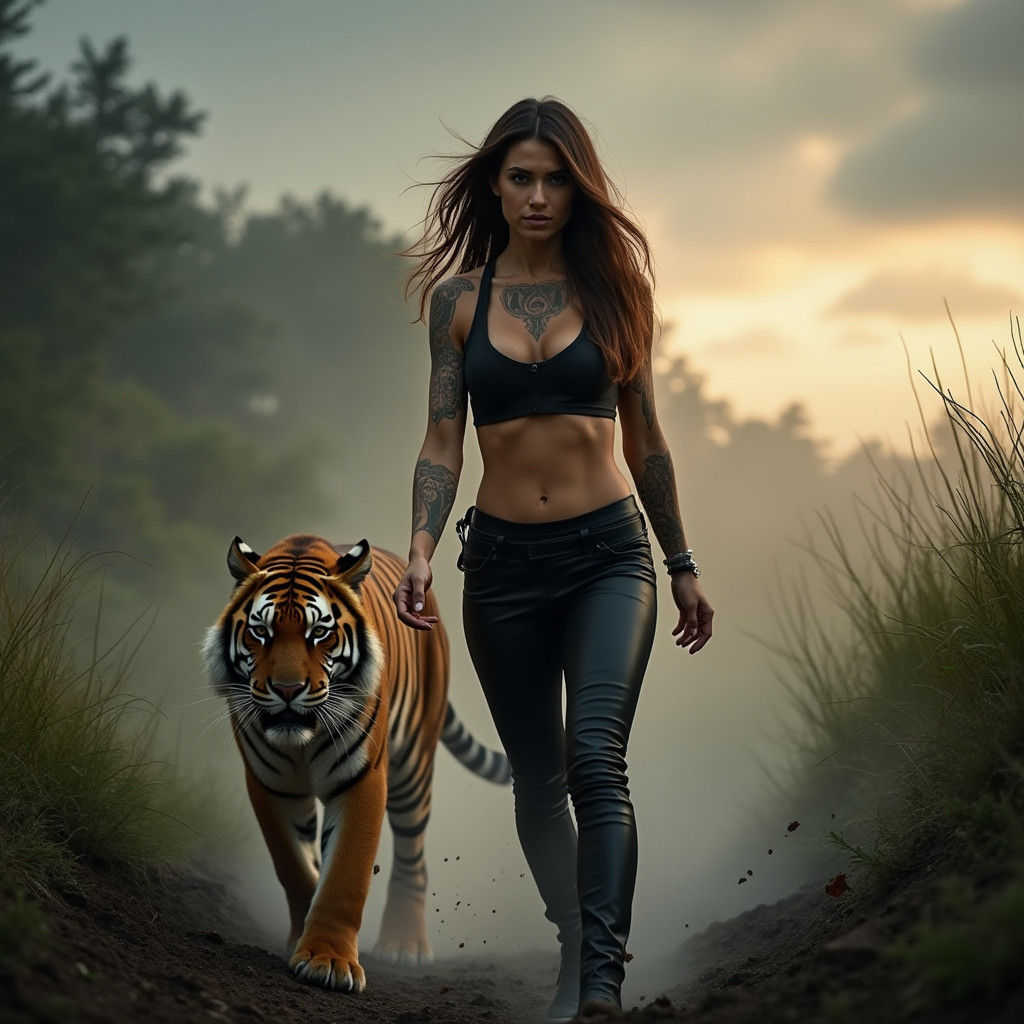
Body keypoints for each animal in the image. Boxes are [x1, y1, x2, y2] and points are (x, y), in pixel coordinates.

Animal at [201, 533, 510, 993]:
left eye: (319, 633)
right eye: (261, 631)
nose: (288, 689)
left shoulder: (361, 779)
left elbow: (345, 874)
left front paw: (328, 960)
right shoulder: (270, 784)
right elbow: (295, 866)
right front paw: (302, 937)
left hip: (413, 768)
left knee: (413, 856)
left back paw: (404, 945)